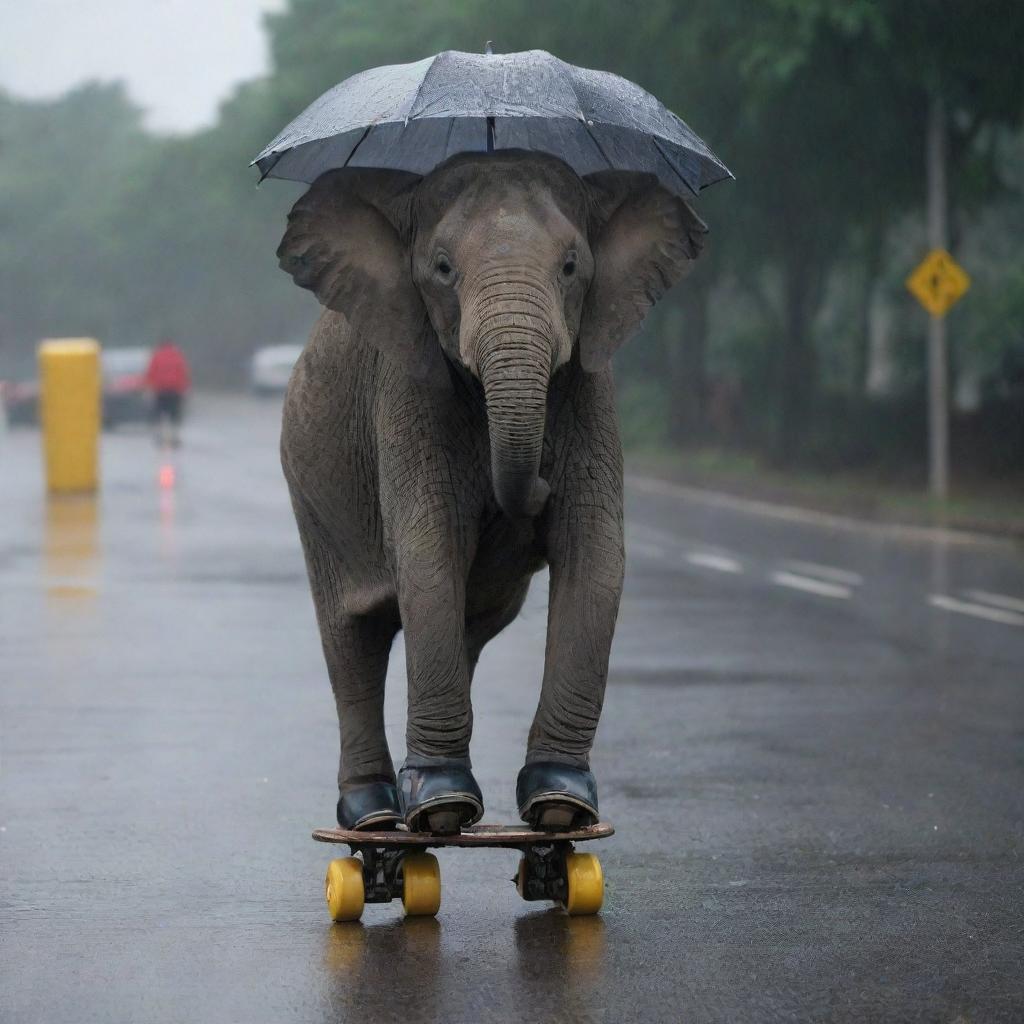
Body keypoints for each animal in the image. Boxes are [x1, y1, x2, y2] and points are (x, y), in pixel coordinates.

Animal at [276, 148, 708, 831]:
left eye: (571, 266)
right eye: (442, 268)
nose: (534, 490)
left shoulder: (590, 388)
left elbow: (595, 556)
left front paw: (559, 806)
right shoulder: (406, 388)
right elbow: (428, 555)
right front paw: (441, 805)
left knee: (468, 629)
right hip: (311, 490)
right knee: (352, 638)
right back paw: (375, 817)